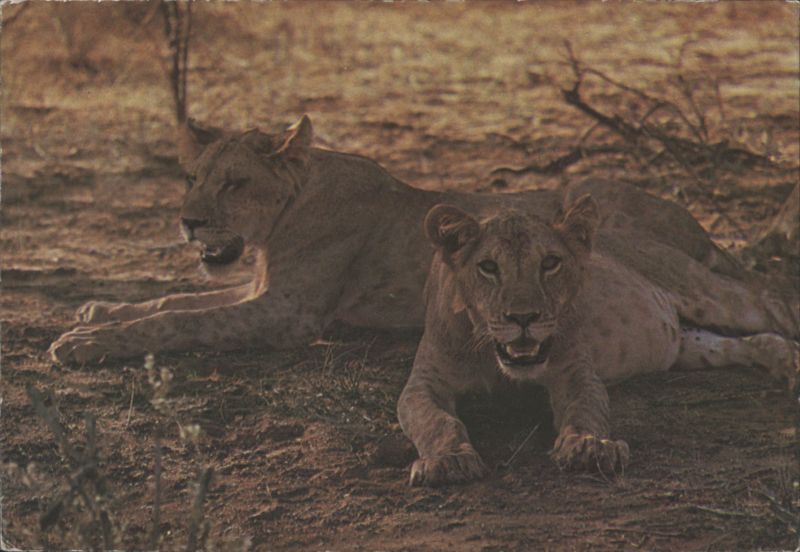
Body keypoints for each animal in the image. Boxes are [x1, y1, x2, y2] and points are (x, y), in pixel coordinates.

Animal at [49, 115, 748, 364]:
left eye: (235, 183)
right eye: (192, 179)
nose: (189, 221)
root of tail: (698, 225)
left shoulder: (289, 315)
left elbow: (179, 321)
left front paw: (85, 344)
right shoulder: (260, 292)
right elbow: (172, 301)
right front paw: (96, 312)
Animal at [397, 196, 799, 486]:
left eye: (550, 263)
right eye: (488, 267)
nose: (523, 318)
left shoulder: (575, 371)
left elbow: (585, 410)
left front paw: (588, 447)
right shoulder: (423, 383)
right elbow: (435, 421)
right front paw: (448, 461)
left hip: (705, 292)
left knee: (773, 300)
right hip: (685, 345)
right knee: (753, 341)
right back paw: (785, 362)